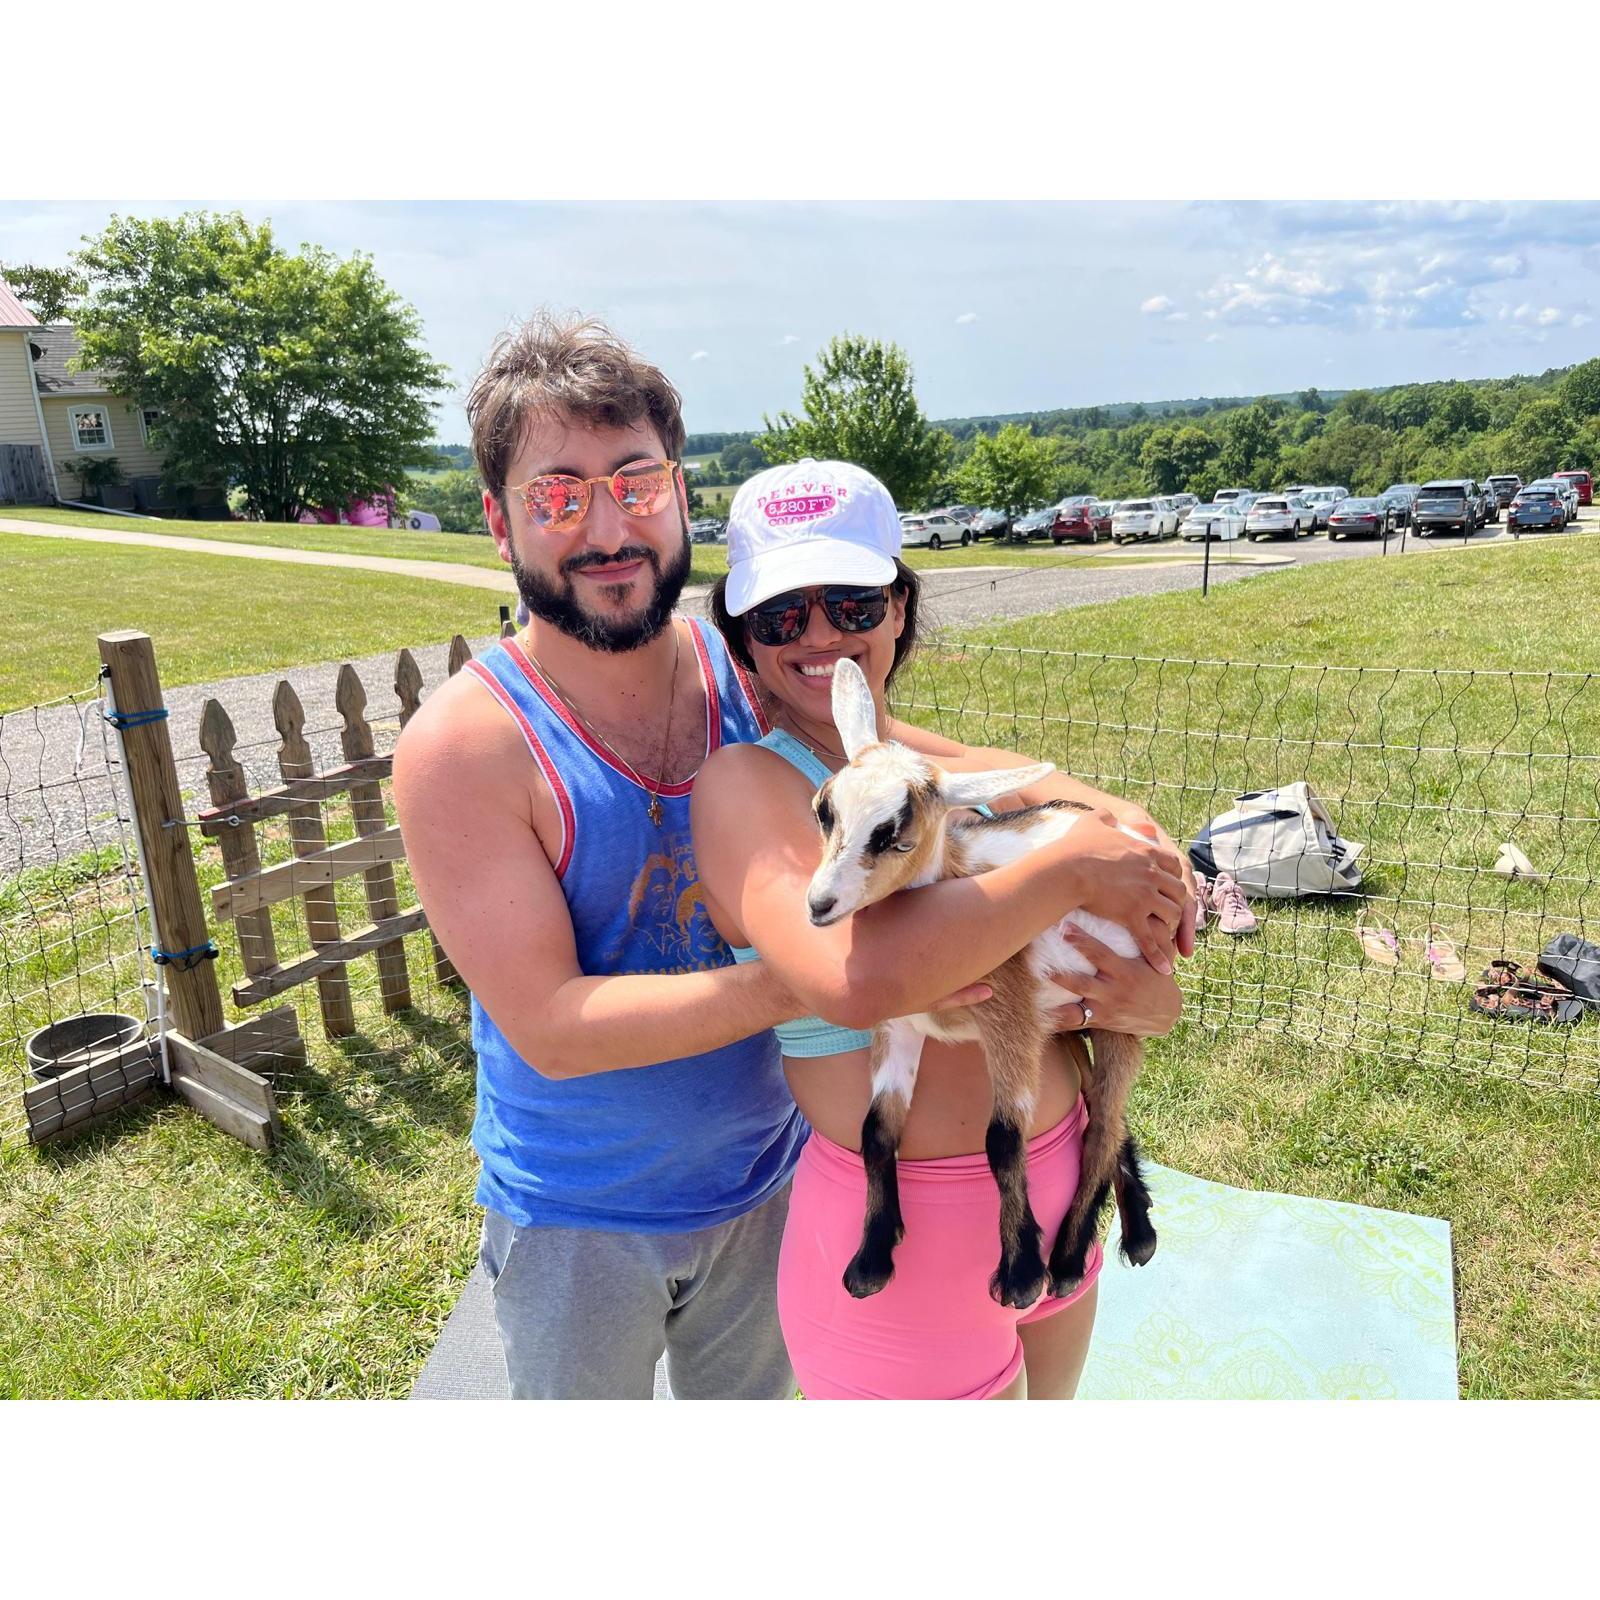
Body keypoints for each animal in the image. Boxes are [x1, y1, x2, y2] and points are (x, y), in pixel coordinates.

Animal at [806, 656, 1158, 1305]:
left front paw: (1020, 1274)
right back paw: (1138, 1226)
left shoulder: (1009, 1021)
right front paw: (870, 1260)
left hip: (1121, 1011)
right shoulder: (900, 1024)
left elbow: (1003, 1139)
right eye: (824, 810)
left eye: (897, 835)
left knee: (1103, 1125)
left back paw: (1069, 1259)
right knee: (1105, 1110)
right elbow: (876, 1129)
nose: (820, 905)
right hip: (1064, 1023)